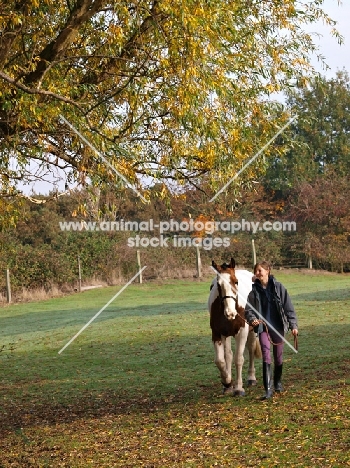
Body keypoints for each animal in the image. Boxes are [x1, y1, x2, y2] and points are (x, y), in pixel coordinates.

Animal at [208, 256, 260, 394]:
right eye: (218, 285)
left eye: (236, 282)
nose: (230, 313)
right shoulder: (217, 334)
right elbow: (220, 360)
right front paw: (227, 382)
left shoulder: (242, 332)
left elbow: (239, 359)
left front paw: (238, 388)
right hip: (226, 335)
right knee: (228, 355)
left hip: (253, 330)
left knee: (251, 350)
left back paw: (251, 378)